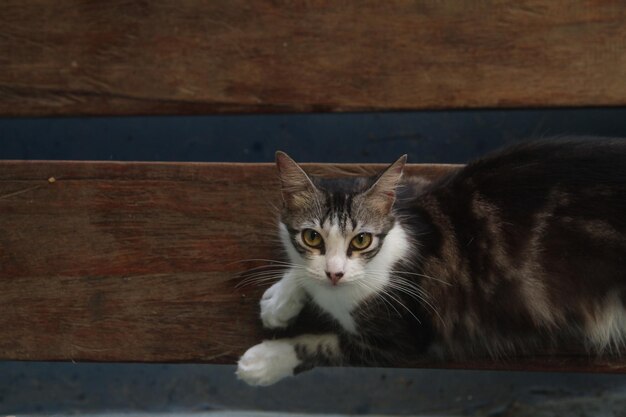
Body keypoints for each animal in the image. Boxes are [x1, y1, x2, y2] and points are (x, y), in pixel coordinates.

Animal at [234, 138, 624, 386]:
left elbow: (322, 345)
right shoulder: (415, 186)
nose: (335, 273)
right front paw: (280, 300)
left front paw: (265, 361)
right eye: (312, 238)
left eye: (361, 240)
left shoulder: (402, 337)